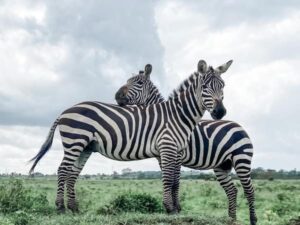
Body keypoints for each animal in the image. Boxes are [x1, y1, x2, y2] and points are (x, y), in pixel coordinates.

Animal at [29, 59, 229, 214]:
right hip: (75, 141)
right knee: (62, 170)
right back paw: (60, 208)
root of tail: (65, 111)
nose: (220, 112)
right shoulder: (167, 148)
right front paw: (170, 208)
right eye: (205, 87)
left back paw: (74, 208)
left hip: (85, 147)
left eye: (223, 86)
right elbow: (168, 178)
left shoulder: (175, 151)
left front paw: (176, 207)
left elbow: (175, 179)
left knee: (72, 173)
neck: (178, 114)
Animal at [115, 61, 258, 225]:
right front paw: (173, 211)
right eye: (127, 81)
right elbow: (168, 180)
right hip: (221, 165)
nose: (117, 96)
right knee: (232, 190)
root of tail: (240, 126)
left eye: (139, 83)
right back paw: (231, 219)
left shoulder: (177, 155)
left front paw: (176, 210)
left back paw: (253, 220)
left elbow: (175, 181)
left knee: (249, 190)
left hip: (242, 159)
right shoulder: (162, 156)